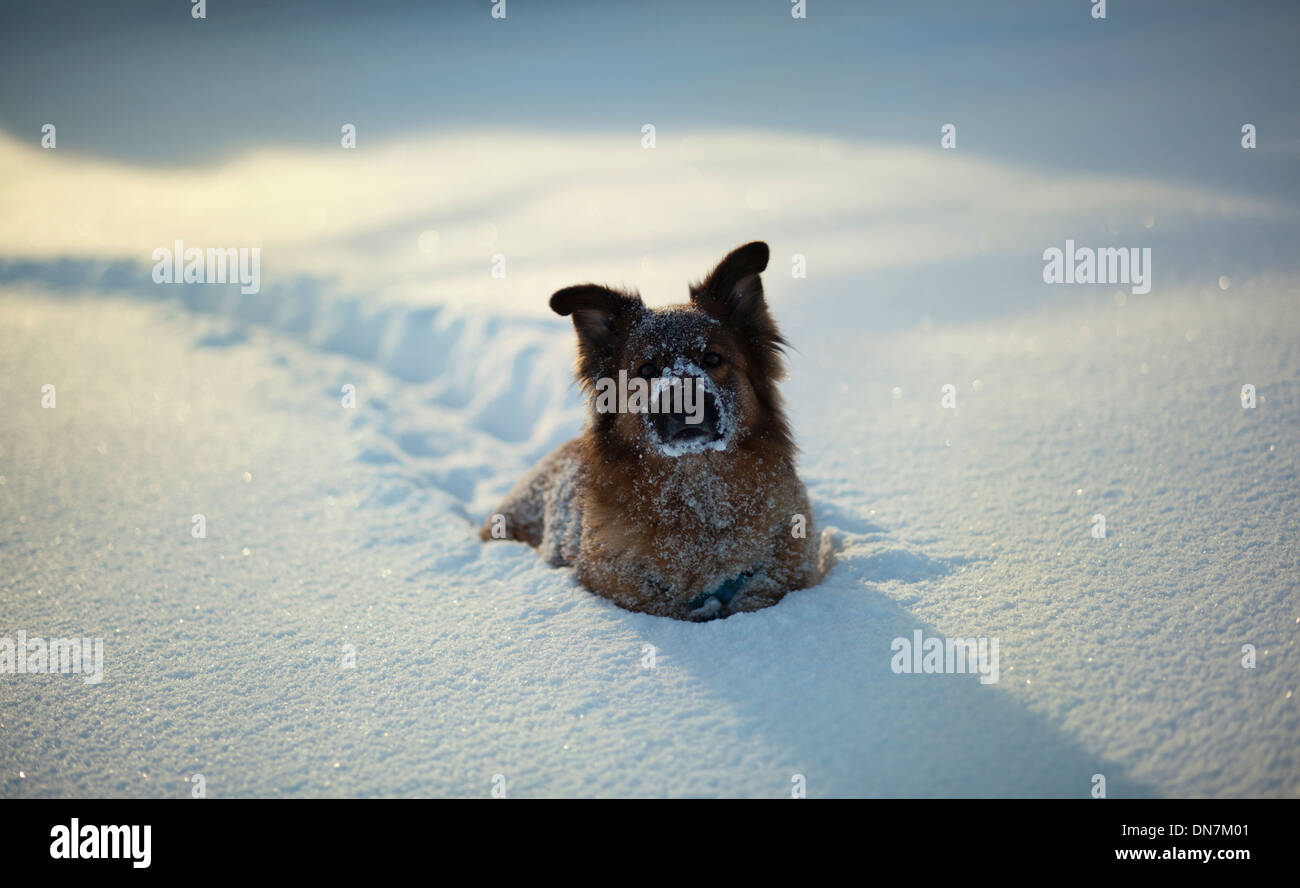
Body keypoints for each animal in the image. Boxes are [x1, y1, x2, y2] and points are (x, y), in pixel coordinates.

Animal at [478, 239, 821, 621]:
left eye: (713, 359)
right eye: (645, 369)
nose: (684, 402)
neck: (696, 497)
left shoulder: (789, 564)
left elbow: (762, 592)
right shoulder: (616, 579)